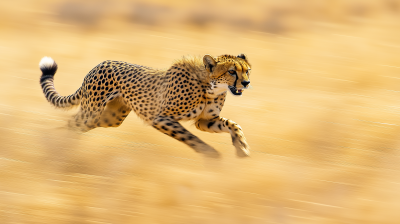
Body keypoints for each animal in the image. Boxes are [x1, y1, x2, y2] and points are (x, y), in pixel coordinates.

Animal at [41, 54, 253, 158]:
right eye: (232, 71)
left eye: (247, 70)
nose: (246, 83)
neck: (209, 86)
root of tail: (100, 64)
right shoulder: (161, 118)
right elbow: (190, 137)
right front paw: (211, 154)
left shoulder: (205, 121)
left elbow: (234, 124)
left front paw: (241, 148)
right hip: (92, 112)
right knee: (71, 123)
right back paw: (54, 144)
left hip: (110, 118)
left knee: (72, 125)